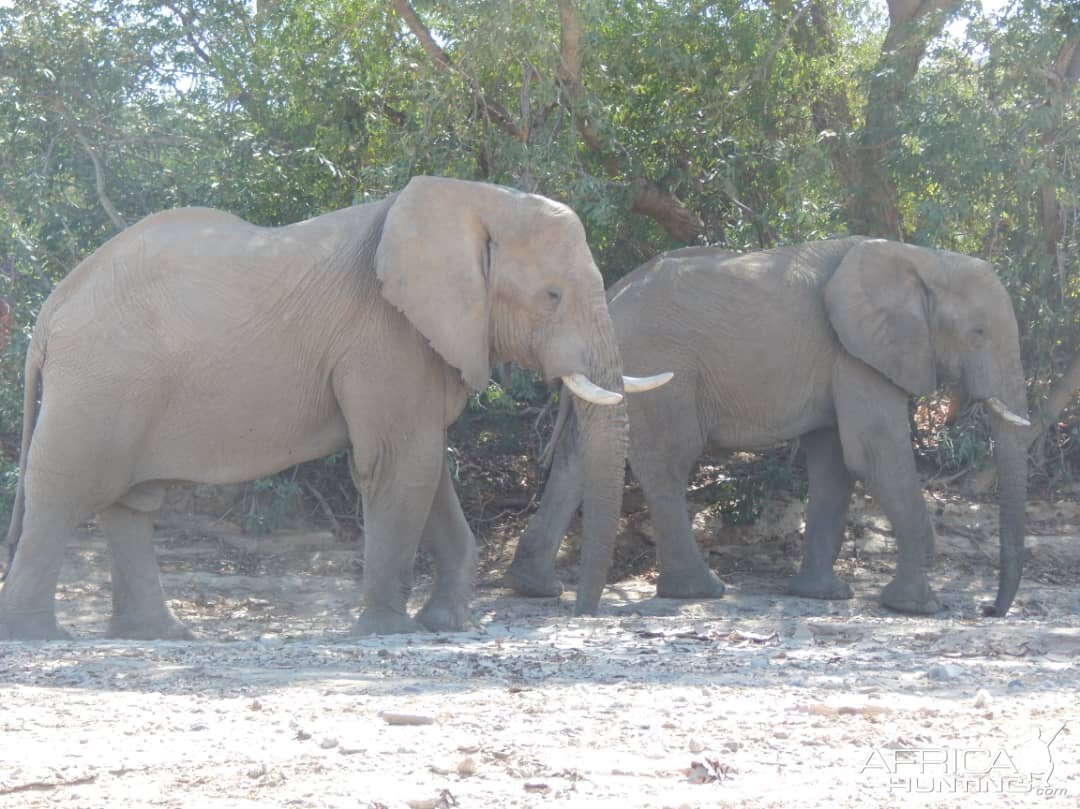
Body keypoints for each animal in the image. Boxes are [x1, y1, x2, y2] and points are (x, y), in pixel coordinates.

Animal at [0, 174, 669, 639]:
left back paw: (162, 637)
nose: (580, 612)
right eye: (552, 296)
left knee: (129, 503)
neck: (469, 200)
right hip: (99, 382)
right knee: (66, 488)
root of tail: (51, 310)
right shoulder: (384, 333)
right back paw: (39, 637)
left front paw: (446, 626)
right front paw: (387, 632)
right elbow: (401, 463)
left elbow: (426, 467)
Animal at [505, 236, 1028, 613]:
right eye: (978, 333)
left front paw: (823, 596)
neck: (921, 258)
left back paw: (536, 588)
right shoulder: (857, 356)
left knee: (577, 459)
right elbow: (874, 453)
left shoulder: (841, 358)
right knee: (668, 462)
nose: (989, 611)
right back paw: (700, 591)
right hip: (661, 369)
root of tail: (611, 295)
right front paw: (919, 608)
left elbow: (834, 462)